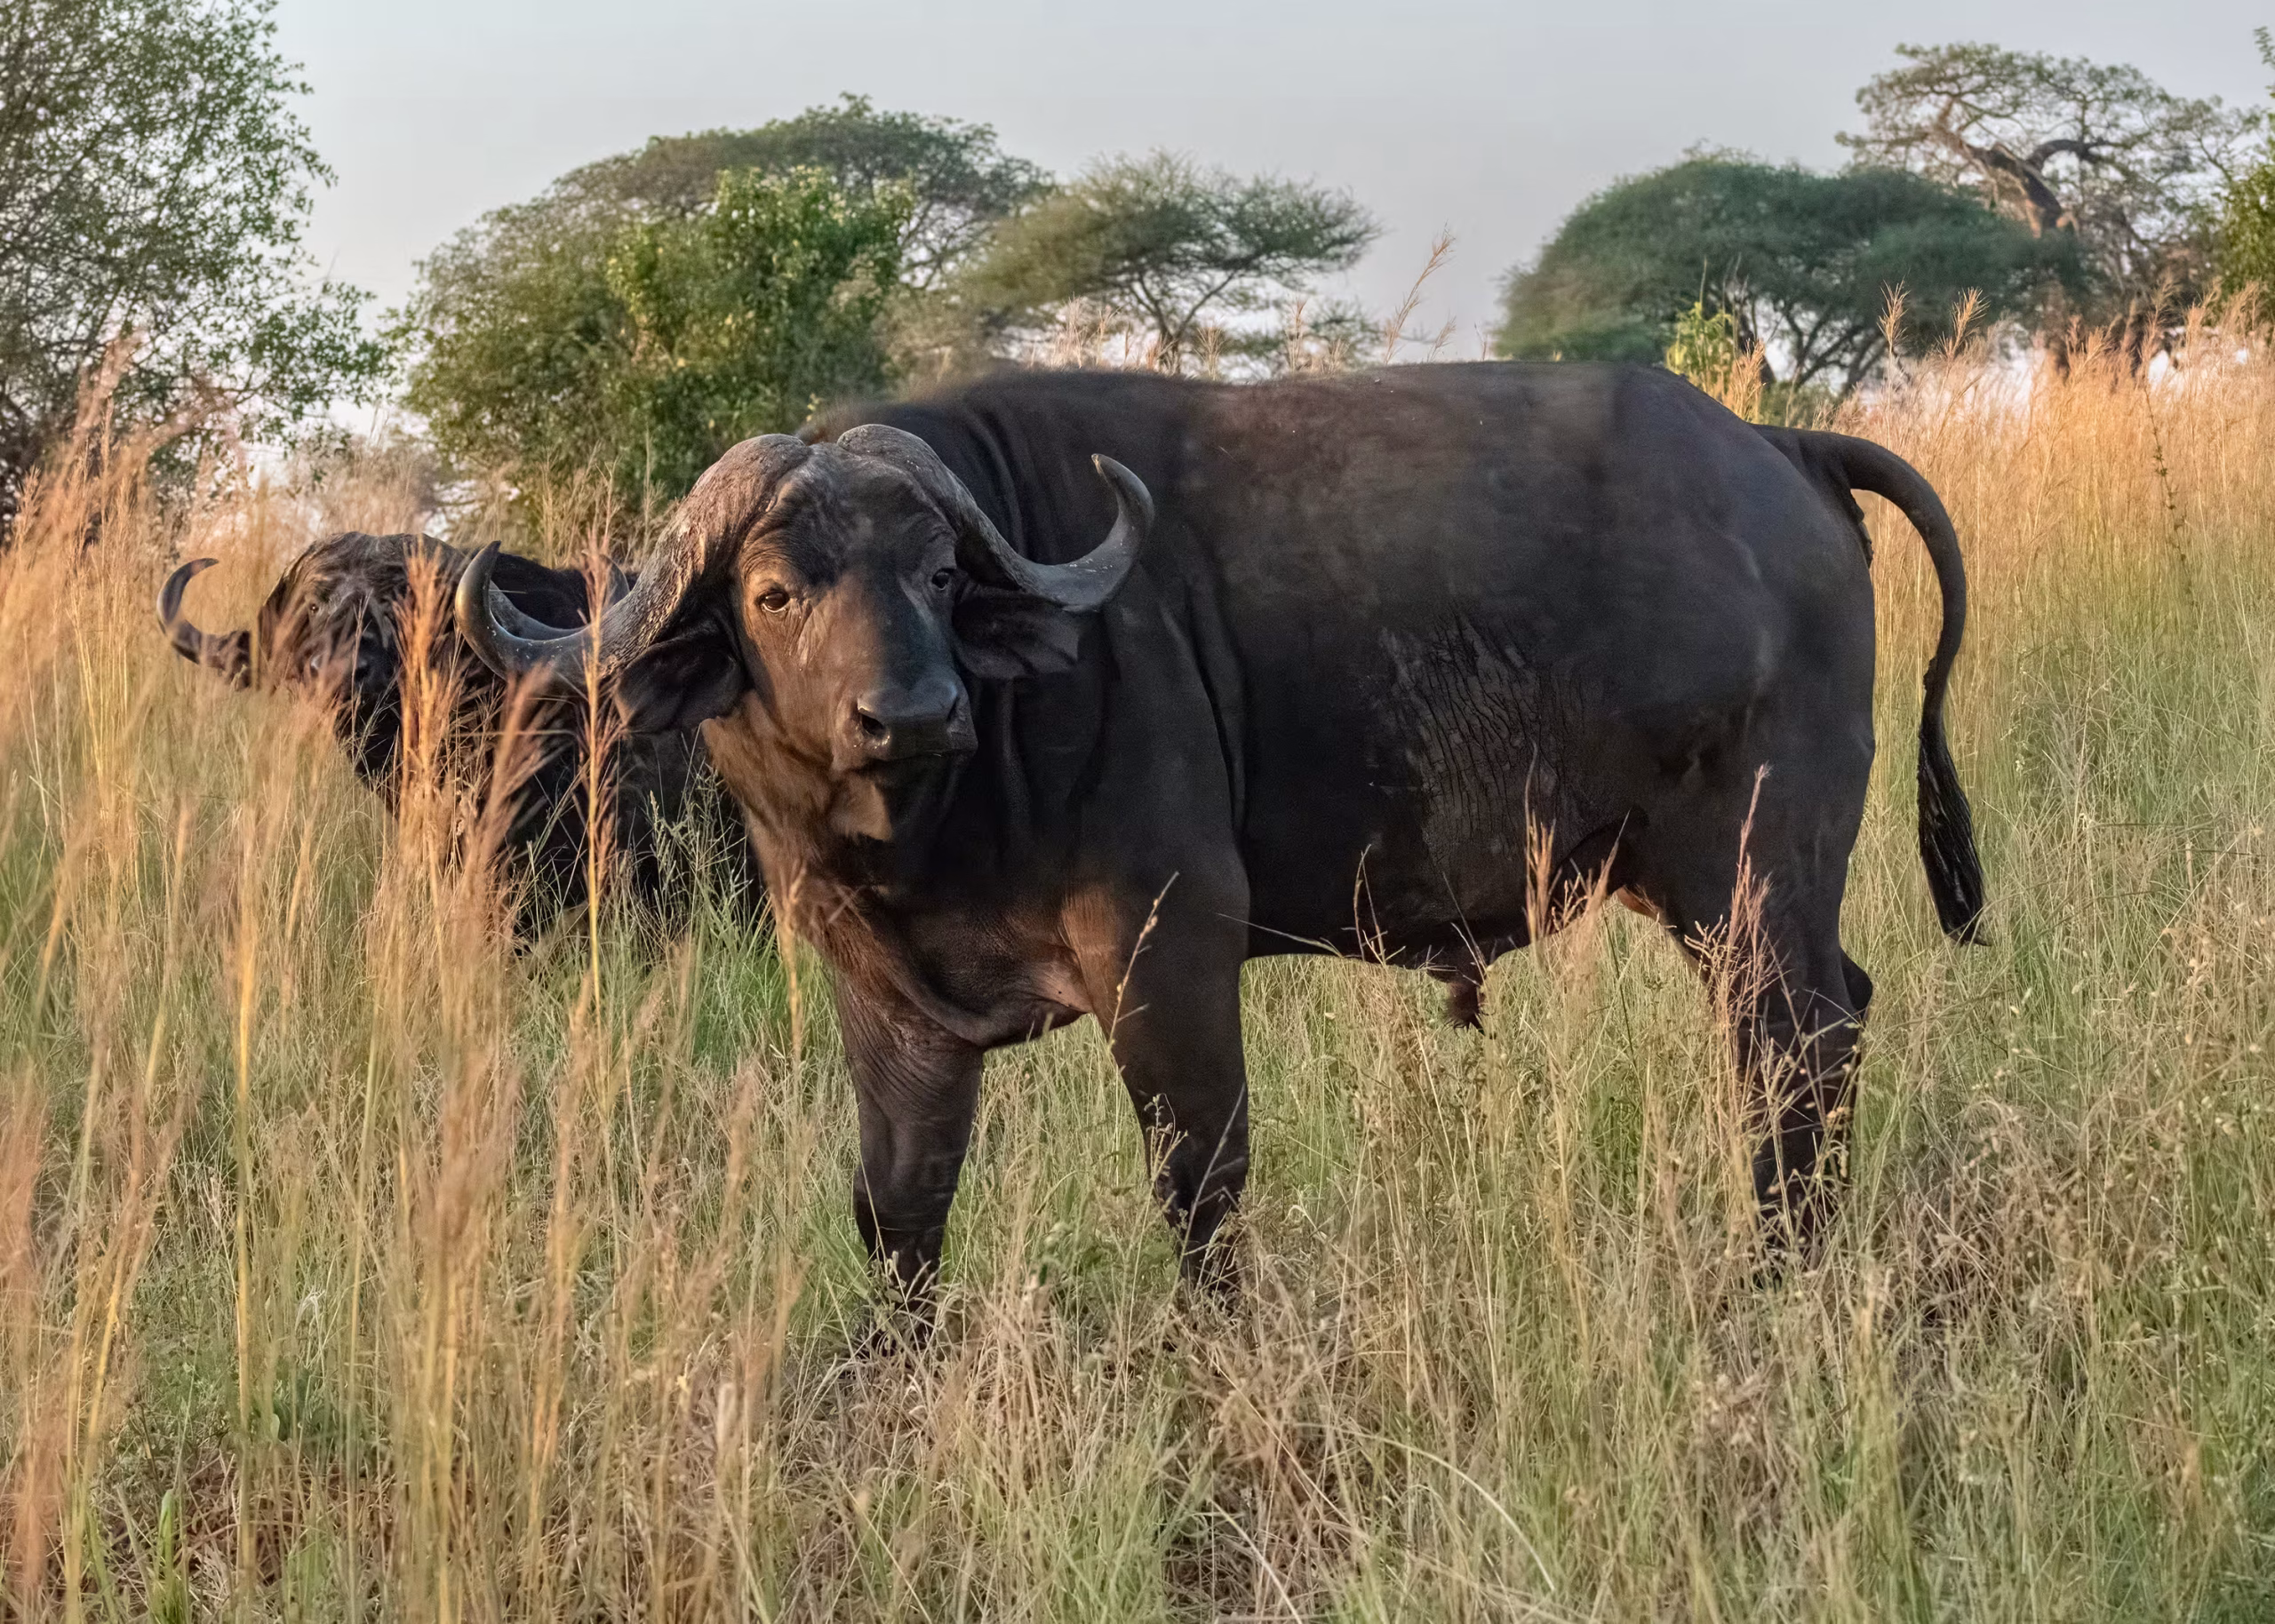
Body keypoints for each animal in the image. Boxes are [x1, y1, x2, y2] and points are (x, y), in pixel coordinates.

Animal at [454, 363, 1984, 1314]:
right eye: (776, 591)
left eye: (940, 574)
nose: (914, 712)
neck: (945, 816)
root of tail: (1777, 450)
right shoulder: (886, 1000)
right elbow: (897, 1208)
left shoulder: (1167, 952)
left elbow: (1199, 1178)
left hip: (1752, 874)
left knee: (1794, 1045)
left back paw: (1775, 1272)